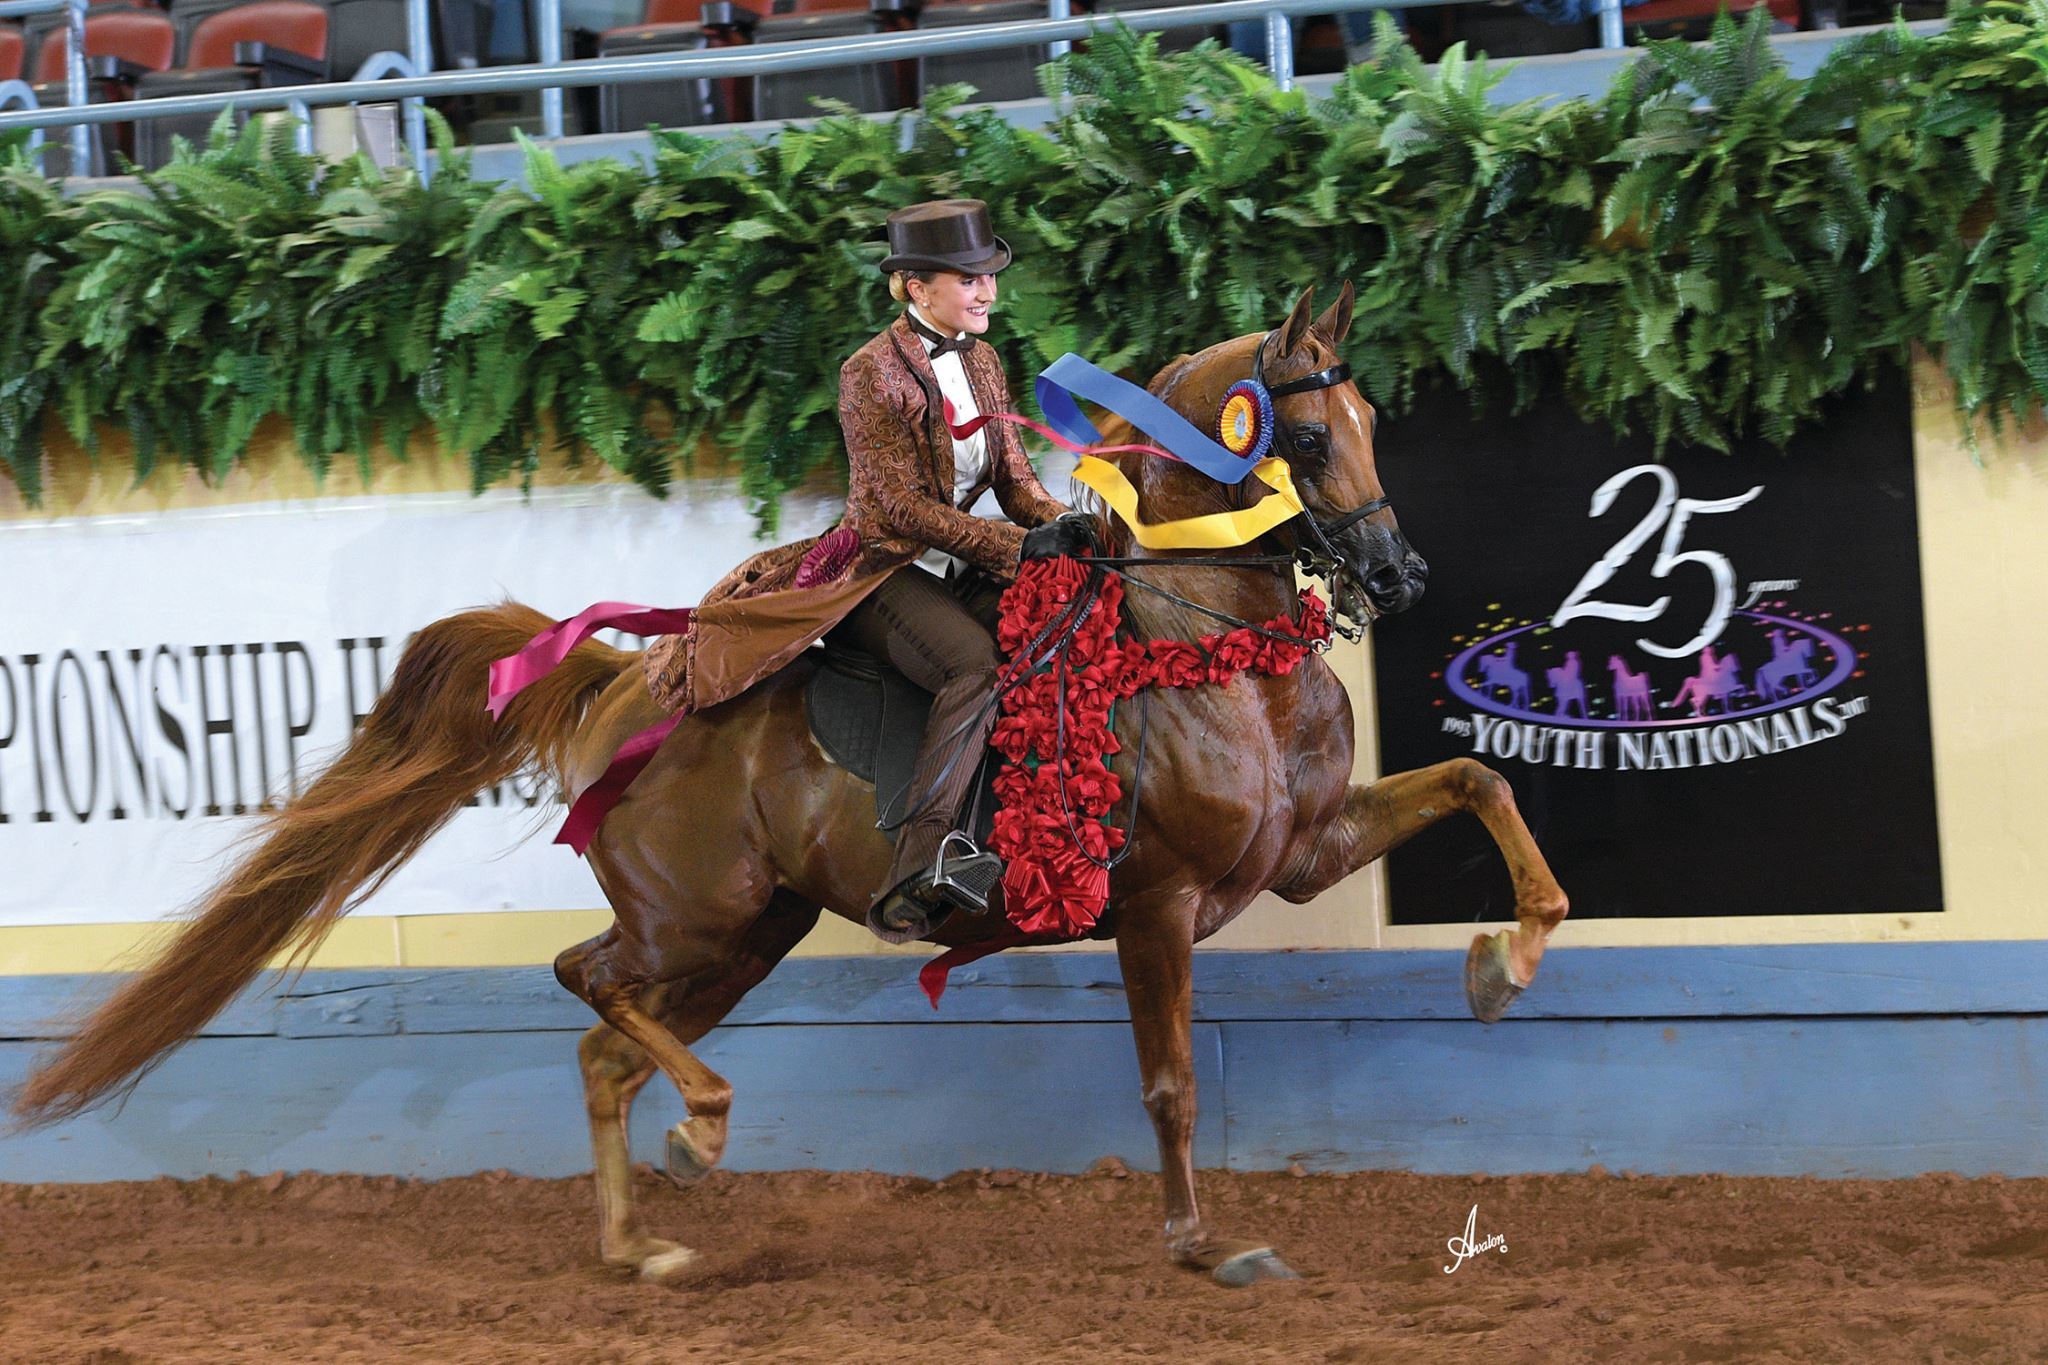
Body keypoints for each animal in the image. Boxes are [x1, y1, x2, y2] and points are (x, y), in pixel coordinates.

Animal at [11, 284, 1569, 1288]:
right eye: (1302, 436)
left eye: (1372, 422)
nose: (1399, 578)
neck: (1200, 640)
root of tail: (635, 686)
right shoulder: (1161, 904)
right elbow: (1174, 1082)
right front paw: (1204, 1244)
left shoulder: (1300, 853)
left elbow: (1480, 784)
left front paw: (1503, 963)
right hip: (696, 917)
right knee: (590, 984)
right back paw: (699, 1135)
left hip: (743, 937)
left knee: (601, 1040)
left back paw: (643, 1238)